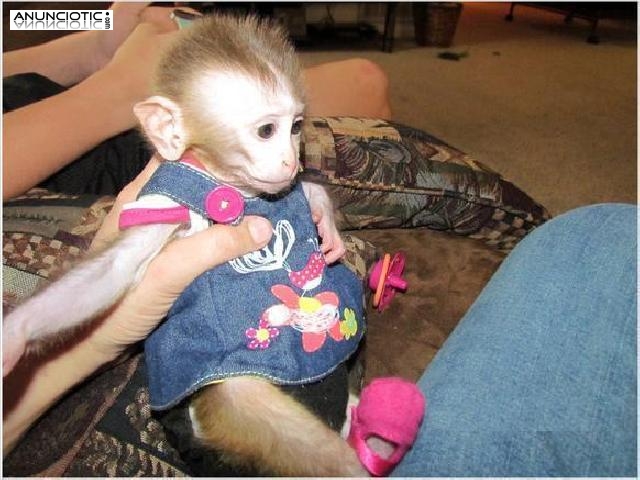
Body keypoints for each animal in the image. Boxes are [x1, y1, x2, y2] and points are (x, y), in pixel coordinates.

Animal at [2, 14, 419, 477]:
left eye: (296, 127)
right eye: (266, 130)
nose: (291, 160)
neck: (238, 189)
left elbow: (304, 194)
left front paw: (323, 219)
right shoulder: (162, 205)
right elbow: (116, 268)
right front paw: (17, 333)